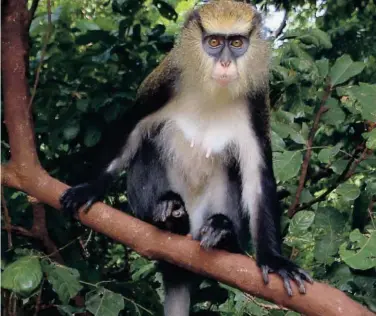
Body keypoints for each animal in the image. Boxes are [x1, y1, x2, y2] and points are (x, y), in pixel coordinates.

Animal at [60, 1, 312, 314]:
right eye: (214, 43)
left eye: (236, 43)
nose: (225, 64)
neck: (213, 91)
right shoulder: (164, 83)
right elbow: (131, 129)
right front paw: (90, 187)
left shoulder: (256, 103)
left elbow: (257, 176)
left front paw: (273, 260)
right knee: (148, 146)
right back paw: (168, 216)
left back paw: (223, 234)